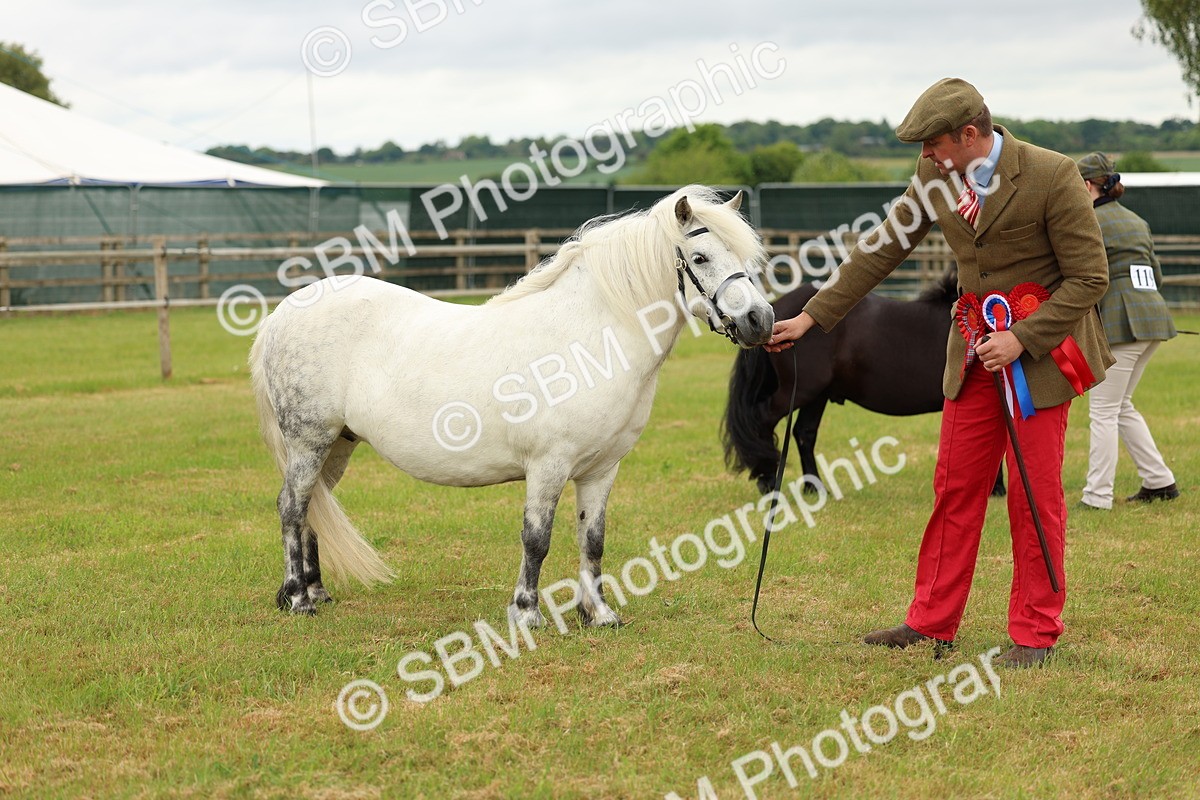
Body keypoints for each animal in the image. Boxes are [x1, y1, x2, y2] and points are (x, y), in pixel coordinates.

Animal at [249, 185, 775, 628]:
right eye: (700, 256)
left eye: (746, 256)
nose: (760, 320)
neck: (590, 340)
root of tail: (283, 313)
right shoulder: (548, 466)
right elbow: (536, 539)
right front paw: (526, 613)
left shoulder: (601, 469)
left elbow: (593, 539)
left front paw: (599, 615)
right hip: (309, 442)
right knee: (292, 506)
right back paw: (297, 599)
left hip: (338, 444)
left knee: (314, 506)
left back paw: (317, 593)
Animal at [722, 268, 1005, 496]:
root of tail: (772, 317)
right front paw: (997, 489)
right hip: (799, 390)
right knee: (762, 421)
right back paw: (768, 480)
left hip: (817, 395)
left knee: (804, 433)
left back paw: (815, 487)